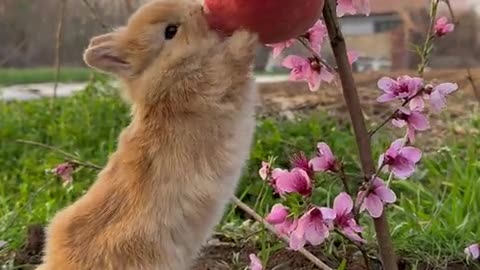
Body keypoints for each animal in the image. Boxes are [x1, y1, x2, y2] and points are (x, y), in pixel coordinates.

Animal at [36, 0, 258, 270]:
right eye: (170, 31)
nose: (198, 8)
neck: (166, 75)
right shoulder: (215, 84)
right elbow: (232, 63)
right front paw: (247, 37)